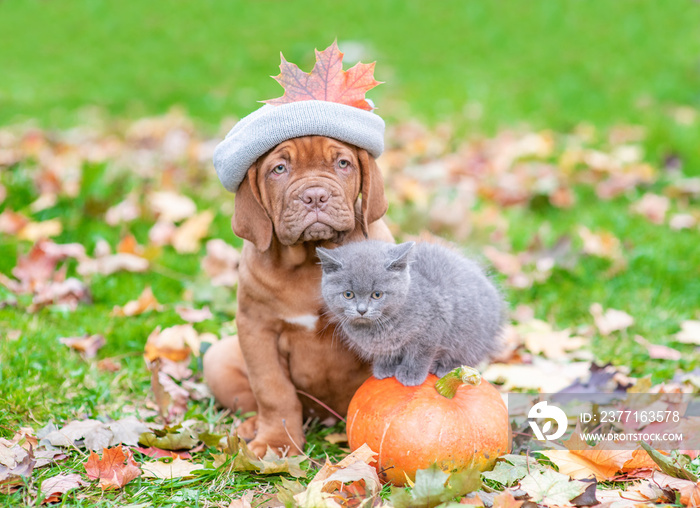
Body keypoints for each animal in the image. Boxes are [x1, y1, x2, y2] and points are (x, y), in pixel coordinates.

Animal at [205, 135, 394, 456]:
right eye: (279, 168)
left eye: (343, 163)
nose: (315, 196)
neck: (311, 260)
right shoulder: (257, 329)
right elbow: (273, 391)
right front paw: (275, 443)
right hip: (217, 359)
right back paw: (251, 427)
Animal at [316, 241, 504, 384]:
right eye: (348, 294)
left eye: (377, 294)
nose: (361, 310)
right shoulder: (383, 346)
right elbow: (385, 353)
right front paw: (384, 367)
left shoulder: (433, 327)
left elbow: (420, 354)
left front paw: (411, 373)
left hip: (471, 336)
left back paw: (446, 367)